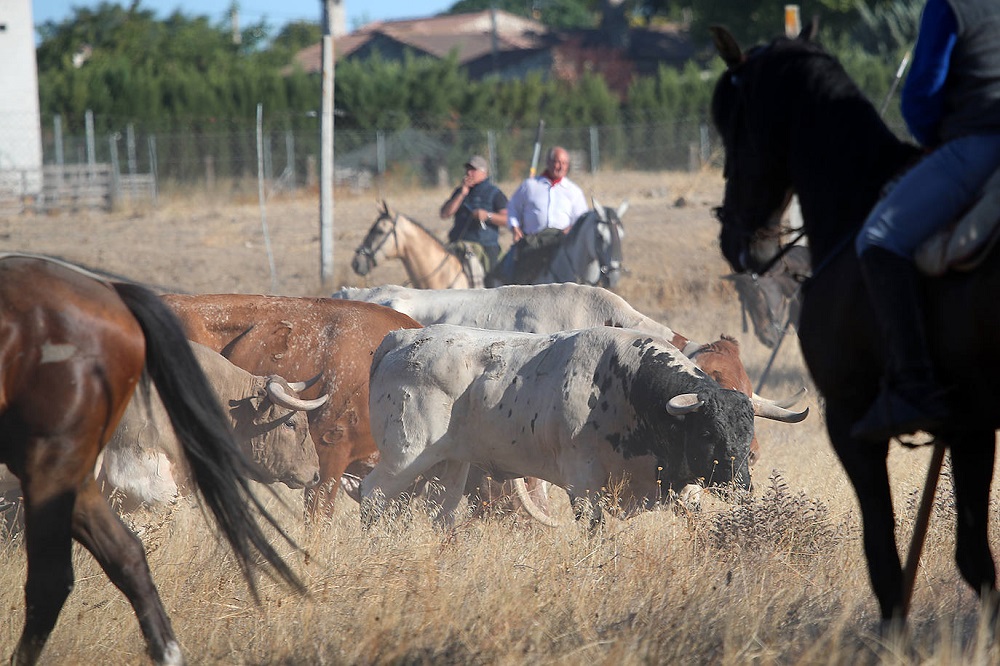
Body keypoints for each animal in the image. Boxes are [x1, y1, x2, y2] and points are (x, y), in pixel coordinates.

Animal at [362, 324, 804, 528]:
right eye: (709, 432)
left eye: (748, 433)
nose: (741, 485)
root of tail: (404, 338)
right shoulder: (583, 484)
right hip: (404, 457)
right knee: (371, 496)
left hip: (448, 466)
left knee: (437, 513)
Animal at [712, 26, 1000, 624]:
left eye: (731, 123)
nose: (738, 242)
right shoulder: (970, 422)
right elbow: (974, 556)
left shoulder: (850, 420)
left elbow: (885, 558)